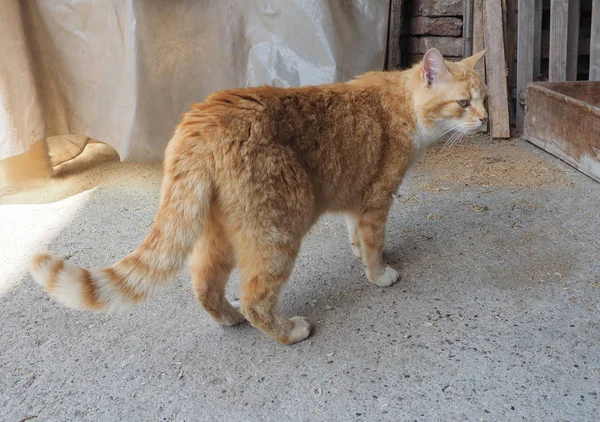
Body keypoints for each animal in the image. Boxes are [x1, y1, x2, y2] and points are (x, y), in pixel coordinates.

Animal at [29, 48, 488, 342]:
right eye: (464, 103)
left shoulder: (355, 196)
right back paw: (289, 332)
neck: (404, 104)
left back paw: (229, 319)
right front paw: (378, 273)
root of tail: (202, 122)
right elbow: (373, 243)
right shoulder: (377, 197)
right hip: (278, 231)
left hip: (217, 234)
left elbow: (355, 232)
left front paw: (358, 251)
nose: (485, 121)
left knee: (205, 286)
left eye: (485, 99)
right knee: (256, 298)